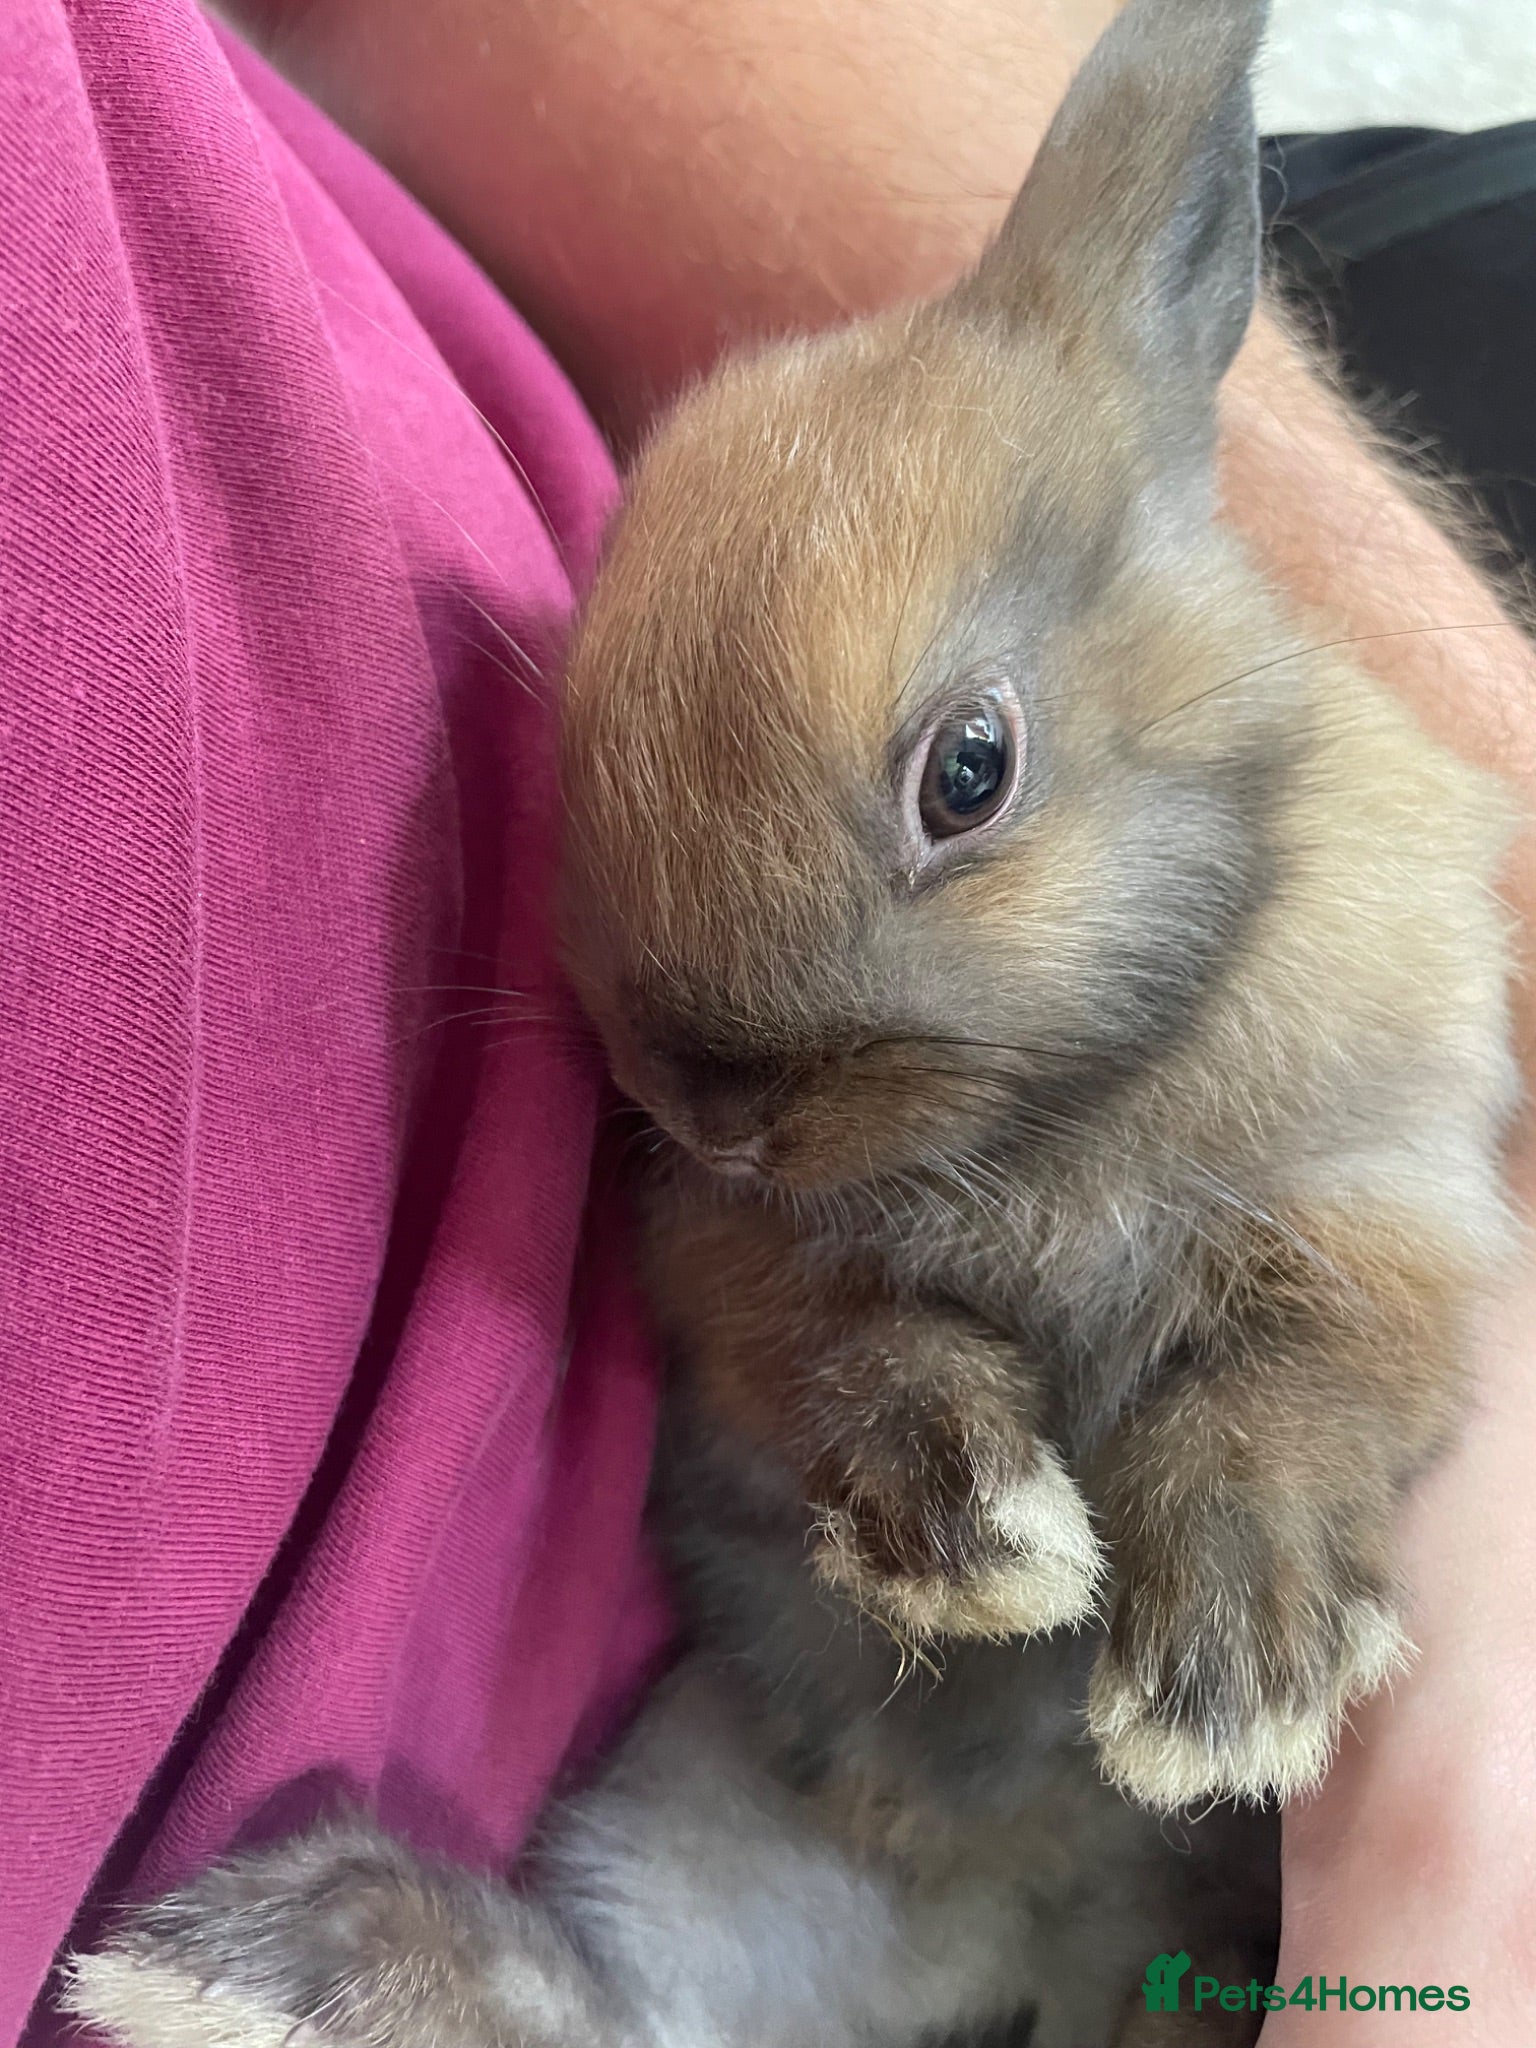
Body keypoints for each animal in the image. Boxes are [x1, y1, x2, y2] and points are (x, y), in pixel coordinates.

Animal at [66, 0, 1516, 2043]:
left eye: (970, 771)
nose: (716, 1106)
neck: (1056, 1115)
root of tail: (1013, 1934)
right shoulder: (738, 1268)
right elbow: (854, 1356)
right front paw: (983, 1545)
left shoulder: (1388, 1216)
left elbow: (1279, 1405)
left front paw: (1226, 1685)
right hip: (695, 1822)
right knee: (609, 2005)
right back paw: (266, 1961)